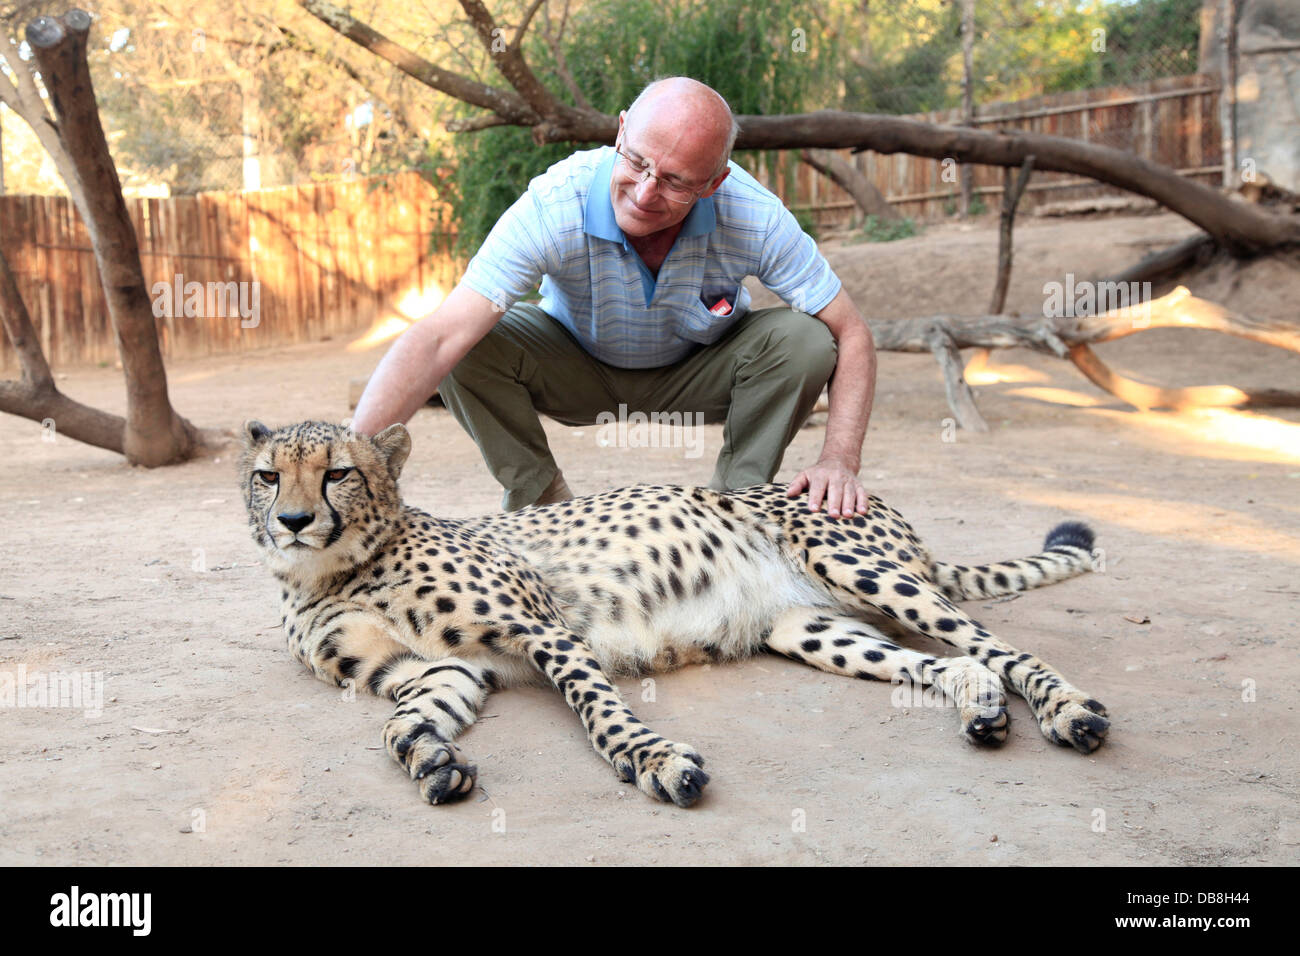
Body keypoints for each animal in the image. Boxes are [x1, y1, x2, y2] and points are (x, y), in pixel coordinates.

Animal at [239, 419, 1110, 808]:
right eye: (266, 475)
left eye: (339, 473)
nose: (292, 521)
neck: (330, 572)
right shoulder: (438, 669)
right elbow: (400, 724)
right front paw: (431, 759)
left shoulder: (544, 629)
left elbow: (599, 712)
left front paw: (653, 760)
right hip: (811, 628)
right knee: (951, 661)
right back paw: (982, 708)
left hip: (858, 567)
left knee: (1003, 648)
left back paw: (1069, 711)